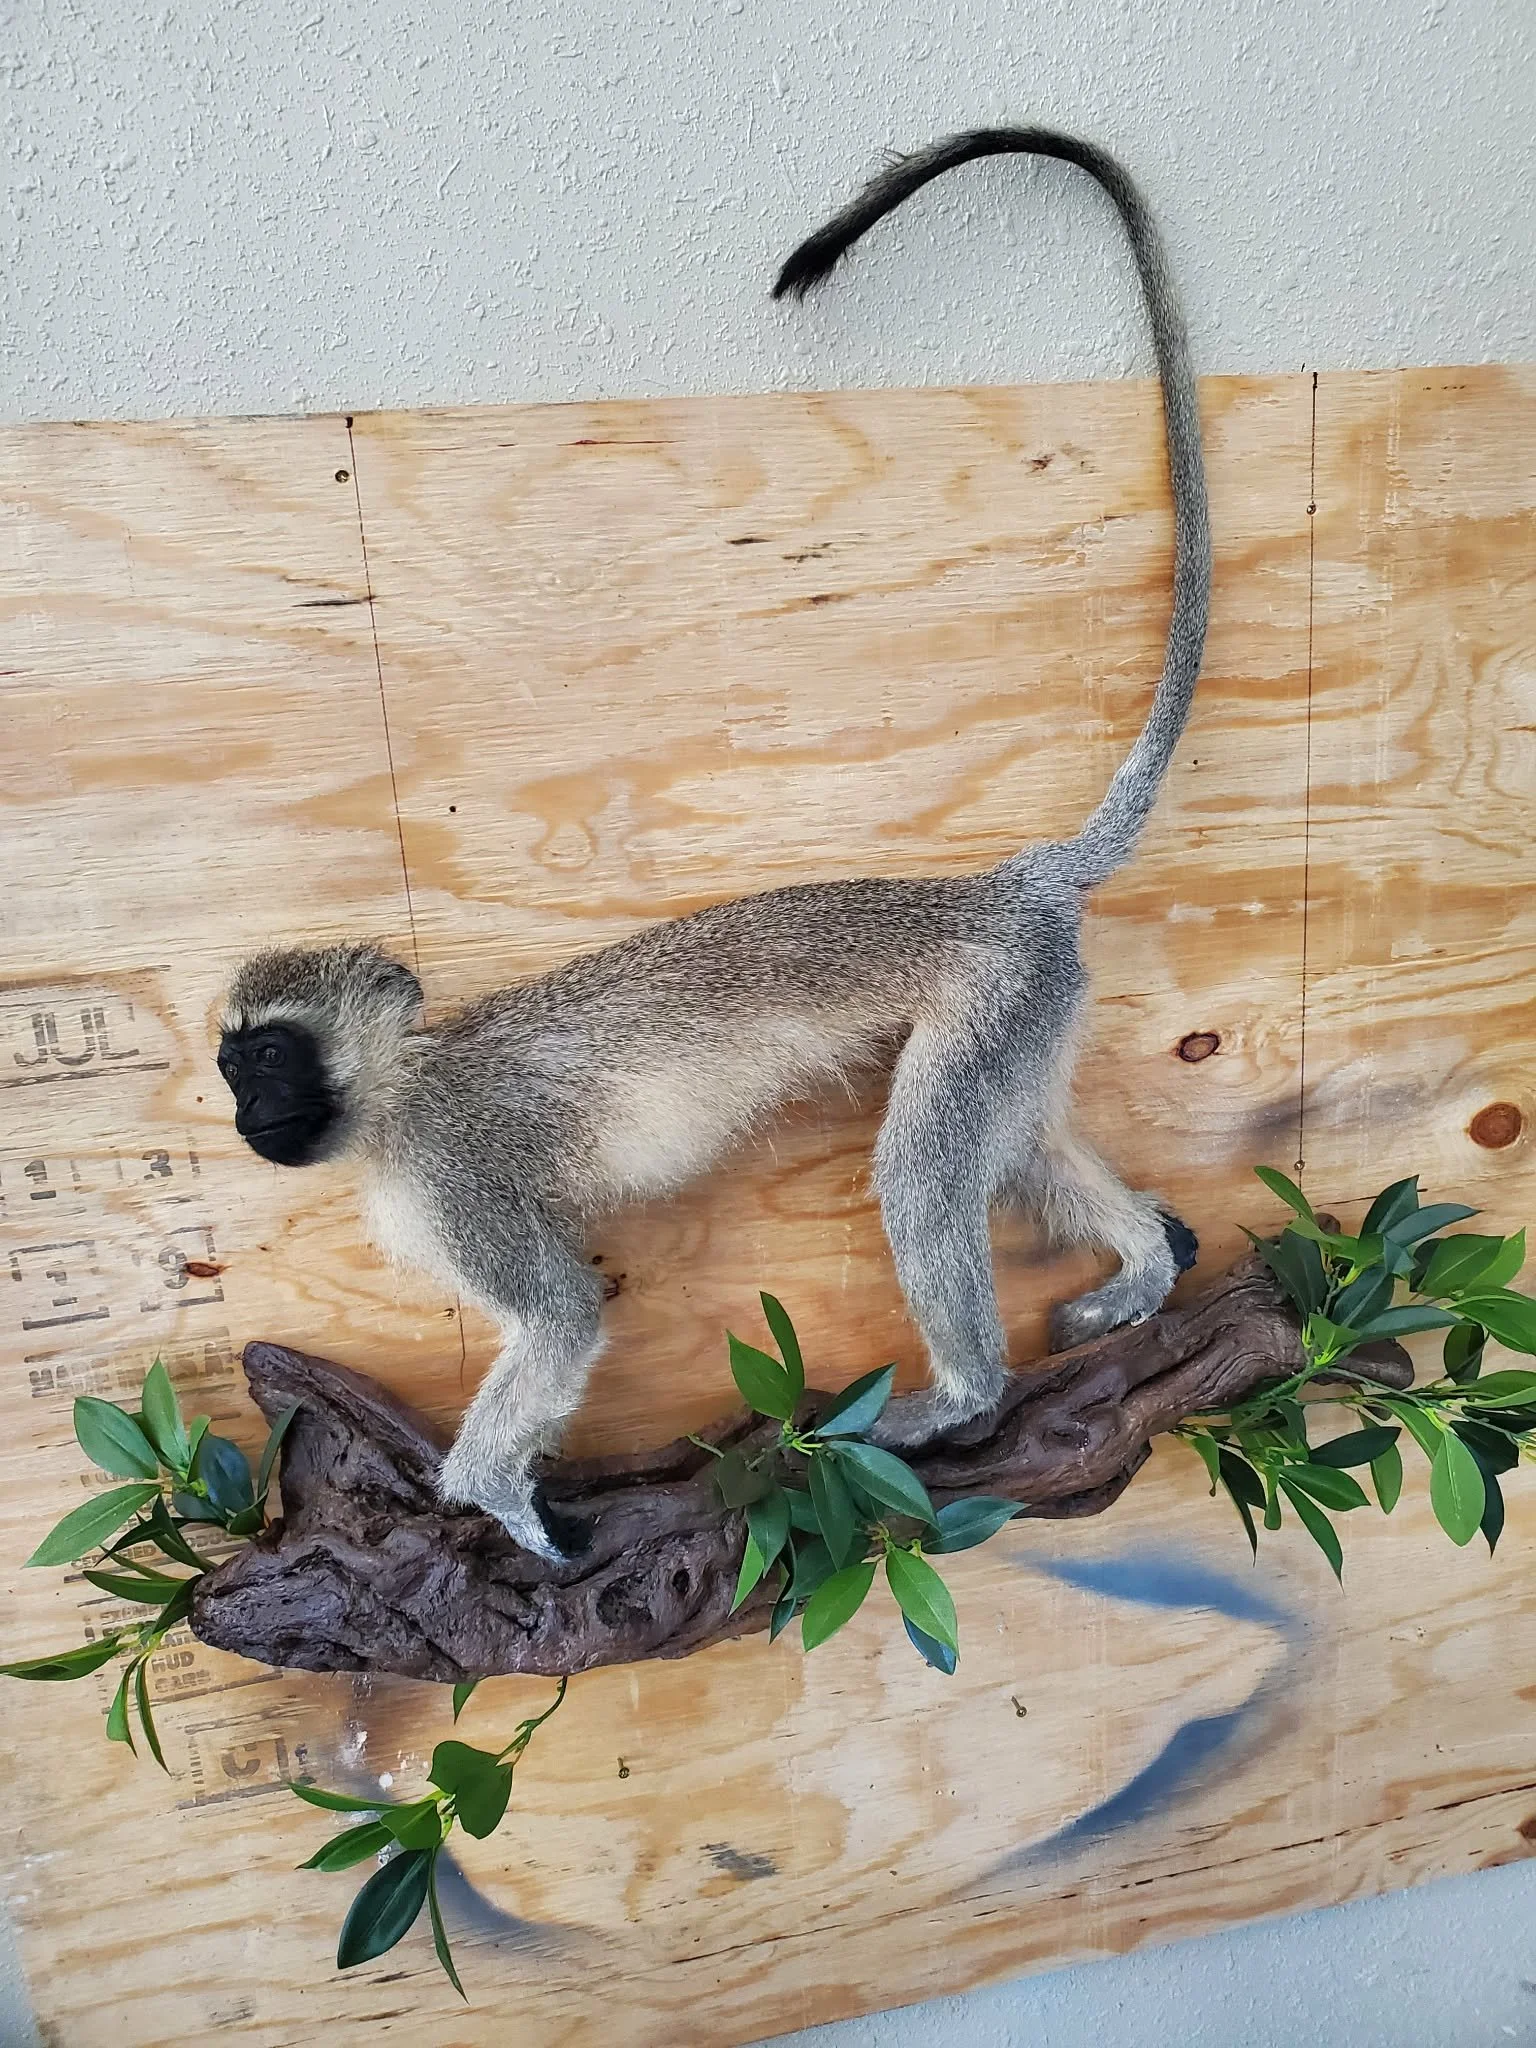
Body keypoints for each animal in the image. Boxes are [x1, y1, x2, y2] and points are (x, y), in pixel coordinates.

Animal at [218, 126, 1211, 1561]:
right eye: (232, 1063)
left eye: (273, 1058)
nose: (248, 1113)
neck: (400, 1099)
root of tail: (998, 887)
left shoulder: (465, 1183)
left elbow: (560, 1316)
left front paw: (499, 1505)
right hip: (1029, 1008)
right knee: (1015, 1134)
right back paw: (1142, 1265)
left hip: (992, 1001)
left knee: (926, 1164)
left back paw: (965, 1391)